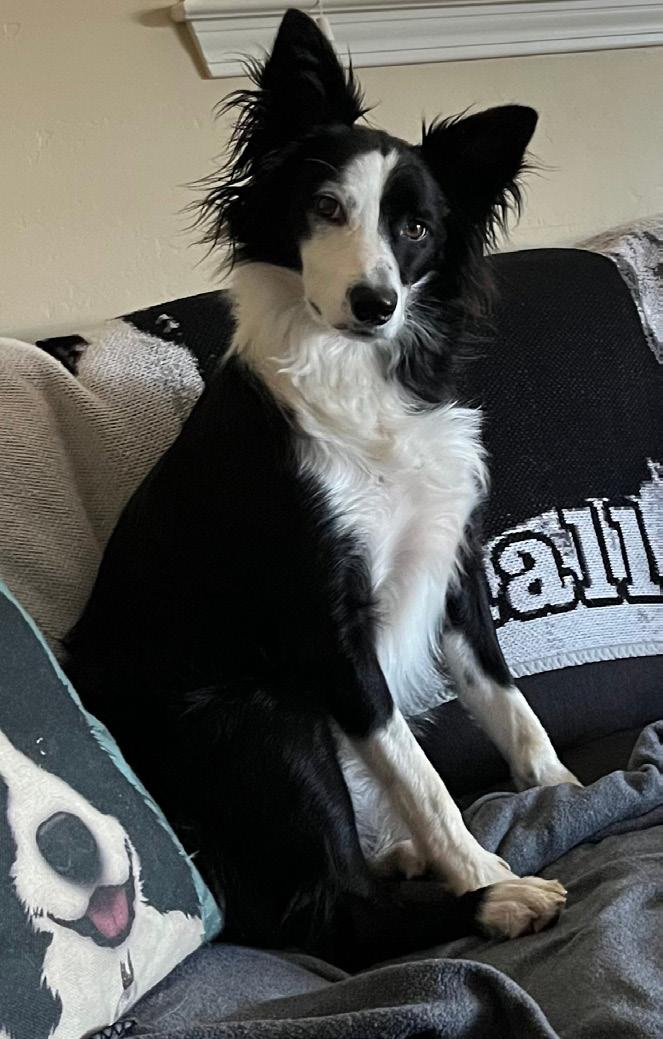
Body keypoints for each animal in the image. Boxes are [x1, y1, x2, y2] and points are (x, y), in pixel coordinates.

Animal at [66, 8, 578, 969]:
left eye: (416, 229)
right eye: (326, 208)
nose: (375, 302)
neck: (357, 380)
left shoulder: (449, 568)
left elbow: (512, 708)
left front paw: (564, 788)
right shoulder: (325, 627)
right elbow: (418, 772)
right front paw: (482, 868)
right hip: (265, 716)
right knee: (329, 914)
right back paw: (489, 902)